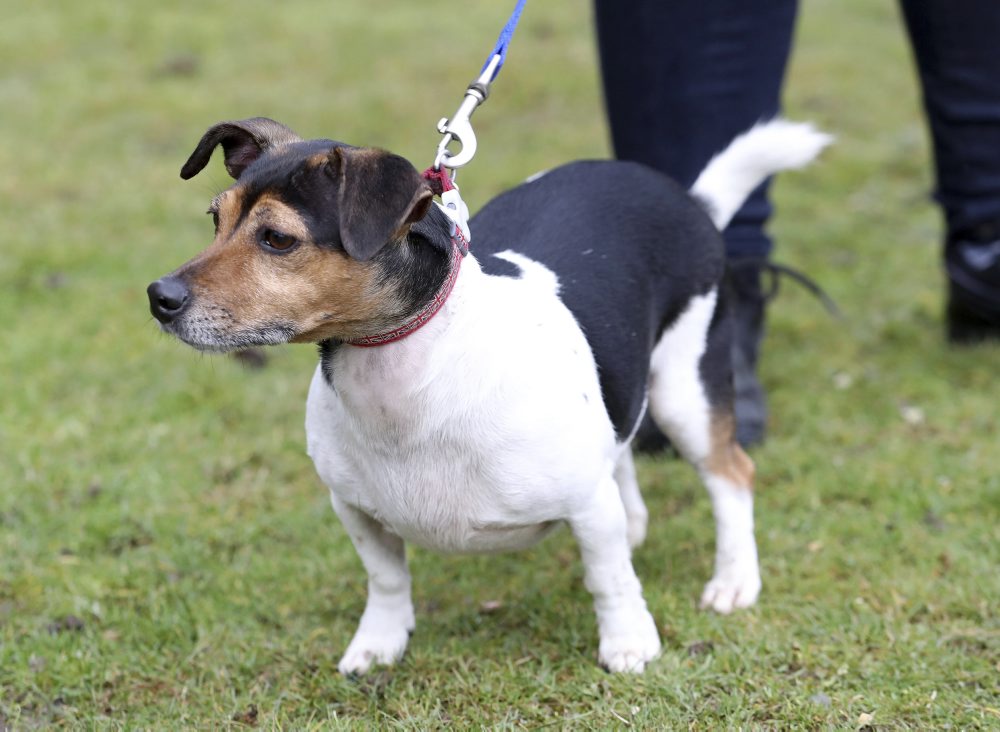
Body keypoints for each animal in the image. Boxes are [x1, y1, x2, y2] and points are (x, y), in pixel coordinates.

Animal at [145, 116, 824, 676]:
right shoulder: (355, 510)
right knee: (623, 448)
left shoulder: (585, 503)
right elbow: (385, 580)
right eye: (215, 219)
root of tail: (687, 198)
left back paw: (734, 580)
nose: (159, 297)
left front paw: (629, 642)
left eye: (278, 239)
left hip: (686, 392)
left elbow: (609, 580)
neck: (405, 375)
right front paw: (379, 644)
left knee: (731, 475)